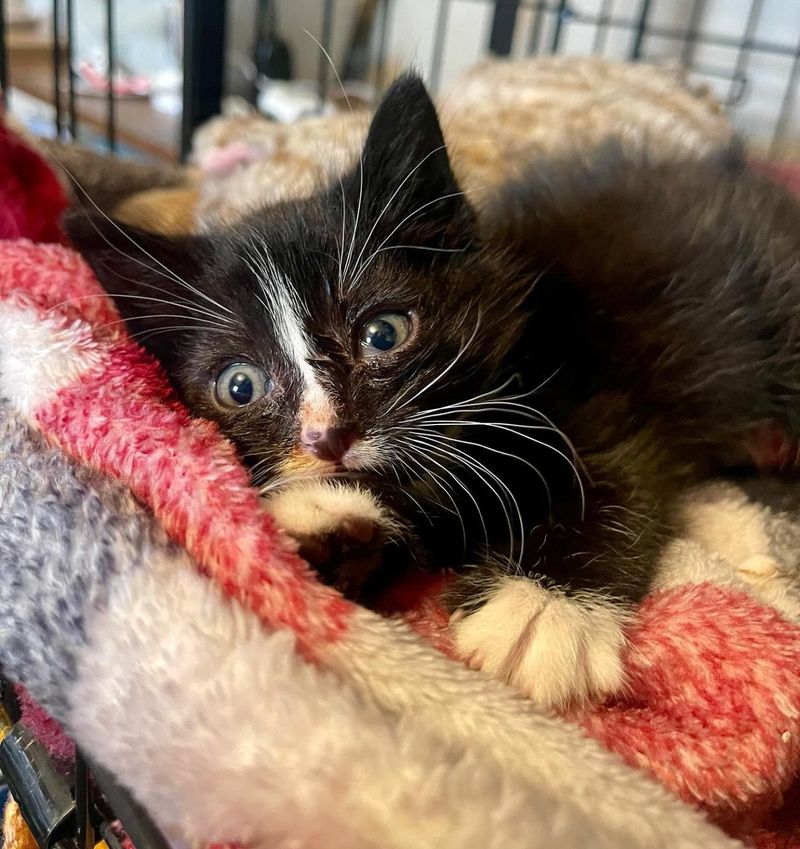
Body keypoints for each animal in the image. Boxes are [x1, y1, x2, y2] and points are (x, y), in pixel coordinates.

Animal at [65, 74, 800, 708]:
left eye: (383, 333)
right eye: (239, 385)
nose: (327, 438)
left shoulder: (601, 393)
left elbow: (616, 469)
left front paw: (545, 608)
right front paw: (324, 517)